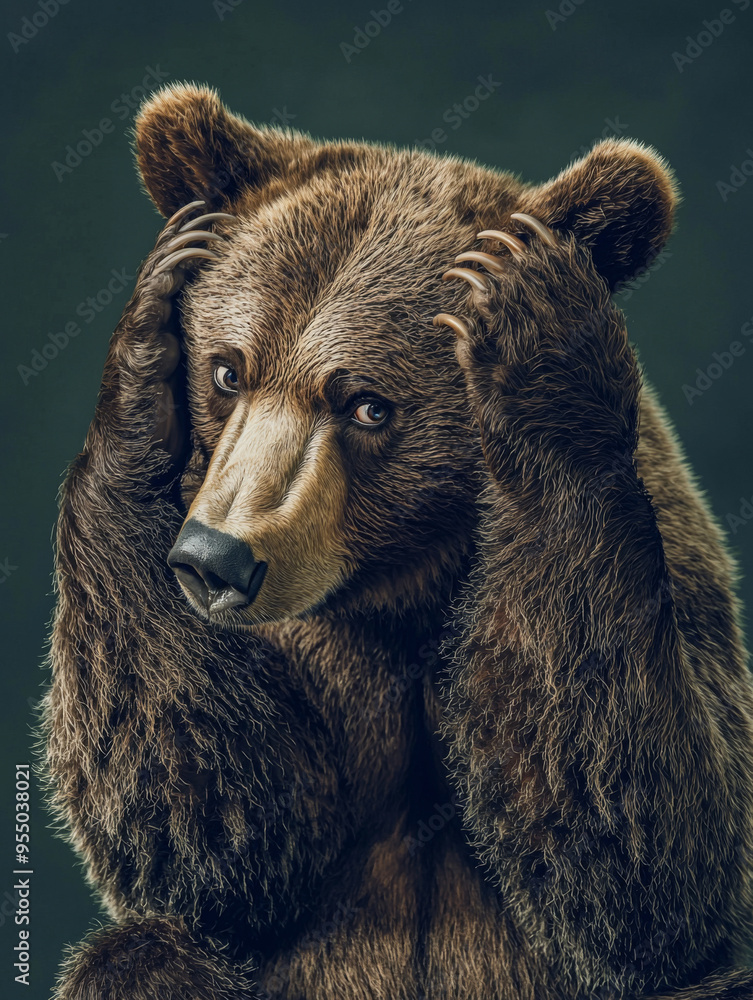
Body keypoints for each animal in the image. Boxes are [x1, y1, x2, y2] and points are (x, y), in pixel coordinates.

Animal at [42, 81, 753, 1000]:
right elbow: (230, 829)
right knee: (141, 954)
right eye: (228, 370)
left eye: (367, 404)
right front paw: (153, 314)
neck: (407, 580)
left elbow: (644, 854)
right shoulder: (305, 656)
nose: (214, 559)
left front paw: (530, 306)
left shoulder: (666, 556)